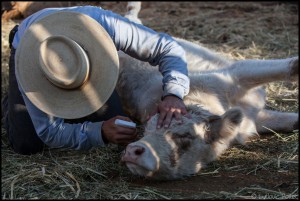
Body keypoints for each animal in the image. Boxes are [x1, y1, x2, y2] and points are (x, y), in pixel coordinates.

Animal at [118, 1, 298, 181]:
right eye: (146, 131)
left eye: (185, 135)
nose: (132, 151)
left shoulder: (235, 74)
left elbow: (289, 68)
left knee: (132, 18)